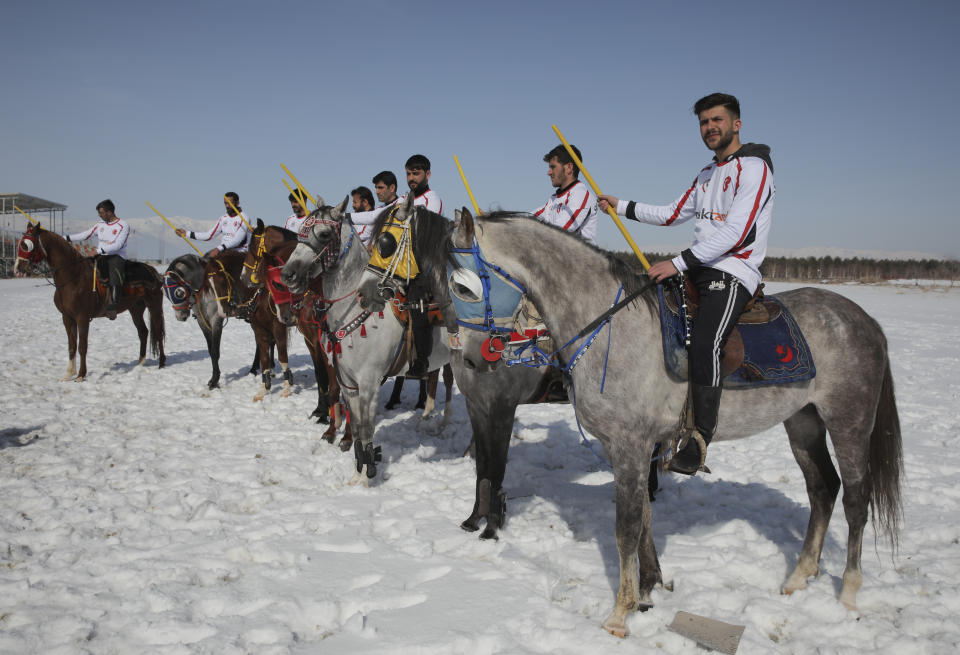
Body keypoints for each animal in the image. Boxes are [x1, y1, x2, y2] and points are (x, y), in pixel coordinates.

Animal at [14, 223, 167, 382]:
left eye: (26, 245)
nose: (17, 269)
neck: (73, 277)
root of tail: (153, 271)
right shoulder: (67, 318)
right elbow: (72, 346)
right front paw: (69, 373)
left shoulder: (82, 318)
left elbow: (82, 346)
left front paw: (81, 375)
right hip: (135, 309)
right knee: (143, 332)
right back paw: (140, 363)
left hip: (154, 306)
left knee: (158, 331)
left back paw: (162, 363)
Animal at [282, 197, 454, 484]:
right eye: (299, 234)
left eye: (325, 234)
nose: (288, 275)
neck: (354, 310)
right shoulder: (349, 383)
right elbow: (354, 425)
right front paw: (358, 471)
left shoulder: (370, 383)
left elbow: (365, 429)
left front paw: (366, 476)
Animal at [418, 211, 900, 640]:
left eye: (461, 285)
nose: (473, 358)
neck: (608, 326)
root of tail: (865, 320)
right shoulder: (631, 446)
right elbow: (644, 521)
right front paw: (648, 591)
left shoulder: (629, 445)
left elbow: (626, 526)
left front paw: (619, 614)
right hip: (803, 421)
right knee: (822, 489)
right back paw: (799, 577)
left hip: (849, 420)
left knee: (856, 499)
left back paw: (849, 594)